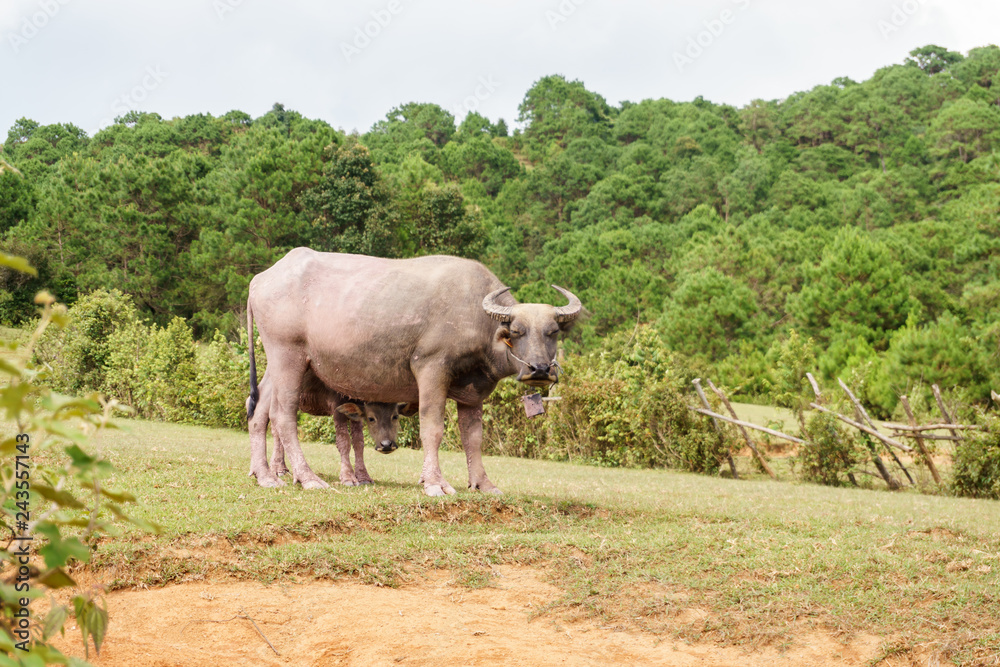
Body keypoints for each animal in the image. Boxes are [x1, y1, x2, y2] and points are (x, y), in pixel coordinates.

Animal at [248, 367, 415, 487]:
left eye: (395, 416)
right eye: (371, 418)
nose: (386, 445)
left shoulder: (355, 413)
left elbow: (358, 442)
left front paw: (363, 477)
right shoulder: (336, 406)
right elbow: (343, 441)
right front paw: (348, 477)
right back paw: (277, 469)